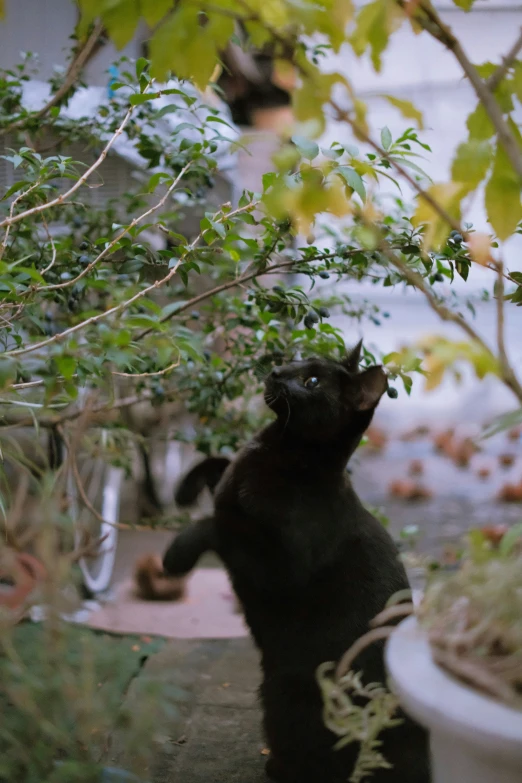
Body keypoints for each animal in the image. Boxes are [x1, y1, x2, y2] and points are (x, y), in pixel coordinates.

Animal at [156, 344, 428, 783]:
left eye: (311, 382)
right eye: (302, 361)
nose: (277, 370)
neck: (279, 452)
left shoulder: (277, 568)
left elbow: (219, 525)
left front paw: (177, 554)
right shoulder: (235, 479)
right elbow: (219, 463)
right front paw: (184, 488)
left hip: (286, 692)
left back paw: (279, 767)